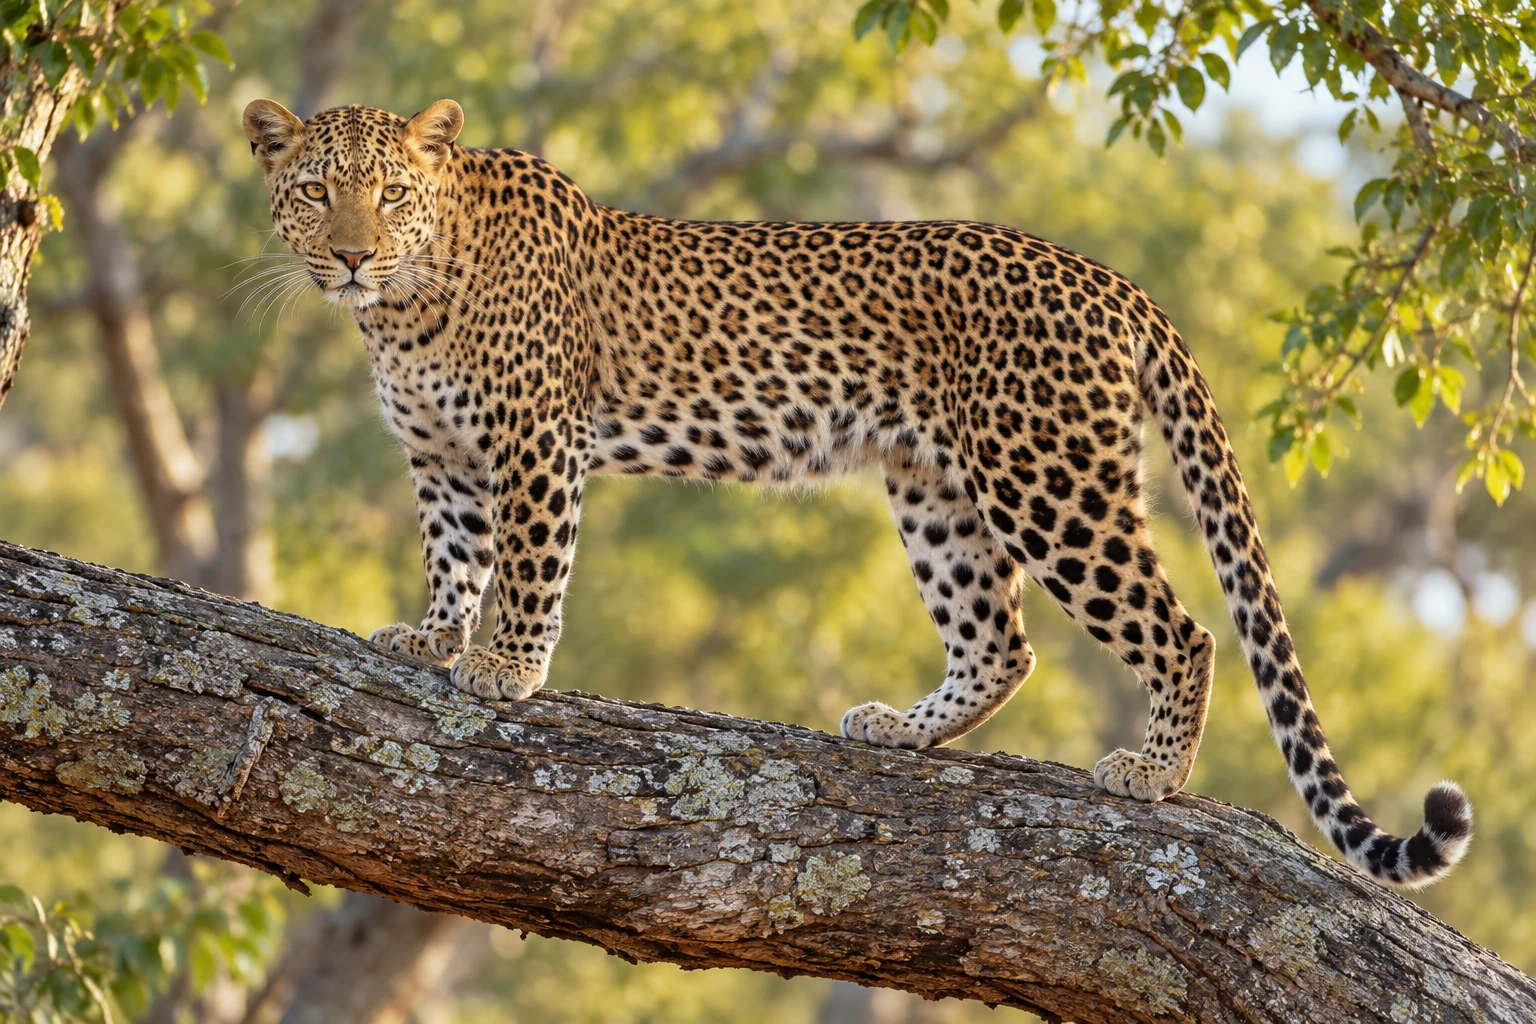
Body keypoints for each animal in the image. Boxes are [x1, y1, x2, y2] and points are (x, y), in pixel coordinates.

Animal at [242, 96, 1472, 887]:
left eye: (390, 195)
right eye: (316, 191)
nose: (351, 256)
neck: (405, 307)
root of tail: (1110, 280)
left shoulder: (537, 439)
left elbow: (531, 564)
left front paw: (504, 668)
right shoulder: (442, 457)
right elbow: (455, 556)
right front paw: (431, 639)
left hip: (1047, 477)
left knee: (1183, 628)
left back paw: (1151, 773)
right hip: (935, 487)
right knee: (1001, 641)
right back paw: (901, 730)